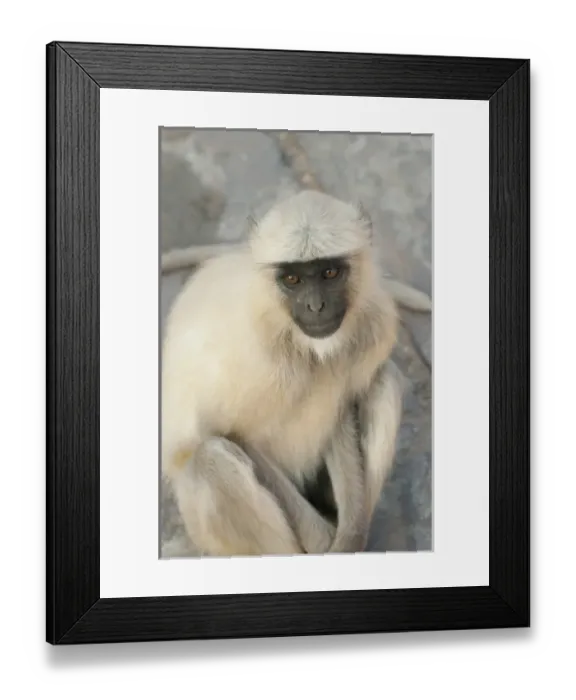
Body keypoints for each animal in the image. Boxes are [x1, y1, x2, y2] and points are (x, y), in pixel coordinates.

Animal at [161, 189, 430, 557]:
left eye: (329, 272)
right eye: (292, 279)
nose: (316, 306)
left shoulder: (371, 323)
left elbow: (341, 411)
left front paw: (350, 538)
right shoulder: (248, 353)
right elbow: (233, 433)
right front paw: (324, 542)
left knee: (384, 380)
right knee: (208, 461)